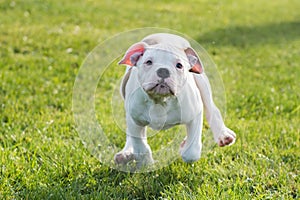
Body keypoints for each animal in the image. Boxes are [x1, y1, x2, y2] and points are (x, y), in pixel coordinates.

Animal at [113, 33, 236, 167]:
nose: (163, 70)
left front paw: (184, 147)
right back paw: (125, 153)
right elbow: (140, 146)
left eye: (179, 65)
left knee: (212, 110)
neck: (160, 101)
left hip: (202, 83)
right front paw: (147, 163)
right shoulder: (134, 120)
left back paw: (223, 135)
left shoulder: (196, 113)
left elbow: (192, 151)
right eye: (148, 62)